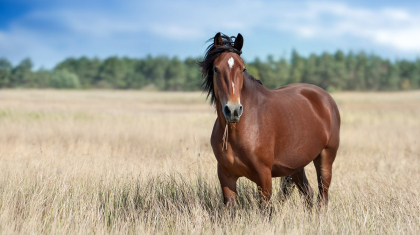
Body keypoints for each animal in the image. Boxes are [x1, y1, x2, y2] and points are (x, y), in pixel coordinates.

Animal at [199, 32, 342, 208]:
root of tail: (326, 98)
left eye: (243, 68)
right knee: (308, 195)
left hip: (326, 158)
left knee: (322, 196)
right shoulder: (226, 176)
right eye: (216, 69)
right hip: (297, 166)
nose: (233, 110)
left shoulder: (264, 176)